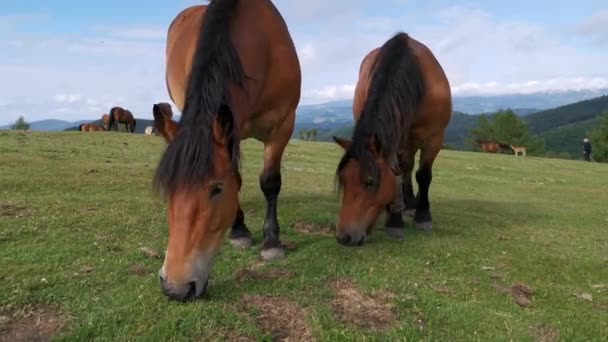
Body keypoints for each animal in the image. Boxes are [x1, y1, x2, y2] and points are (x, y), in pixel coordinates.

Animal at [154, 0, 302, 300]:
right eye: (168, 190)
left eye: (216, 189)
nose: (175, 287)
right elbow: (239, 179)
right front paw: (239, 229)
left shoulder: (283, 126)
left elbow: (270, 182)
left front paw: (272, 241)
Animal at [332, 32, 452, 246]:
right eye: (343, 180)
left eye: (370, 182)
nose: (343, 237)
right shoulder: (391, 139)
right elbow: (396, 177)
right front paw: (395, 220)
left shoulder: (434, 137)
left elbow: (424, 175)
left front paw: (423, 216)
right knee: (406, 168)